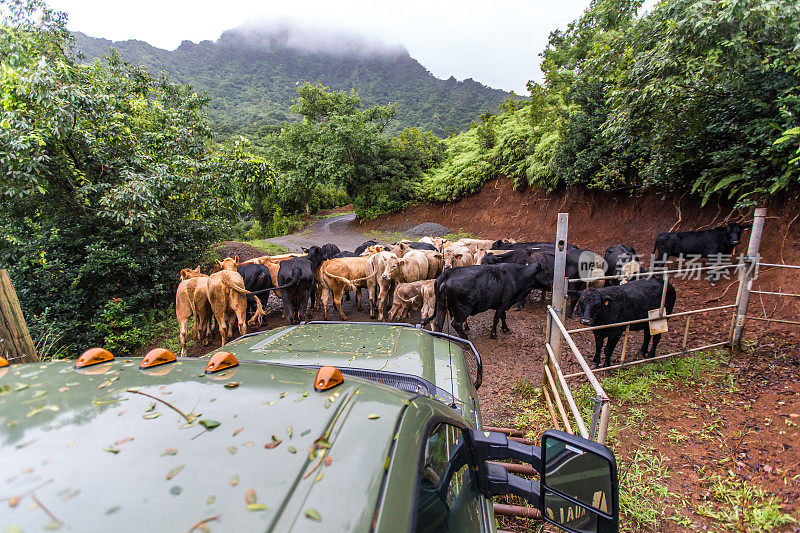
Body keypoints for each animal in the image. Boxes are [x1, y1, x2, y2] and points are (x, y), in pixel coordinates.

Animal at [424, 262, 552, 340]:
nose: (552, 283)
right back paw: (466, 339)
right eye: (546, 271)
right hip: (463, 308)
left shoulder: (503, 303)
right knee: (456, 323)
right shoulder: (504, 302)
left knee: (438, 322)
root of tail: (447, 273)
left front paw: (505, 328)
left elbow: (503, 316)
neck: (516, 276)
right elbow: (496, 318)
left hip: (441, 306)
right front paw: (493, 333)